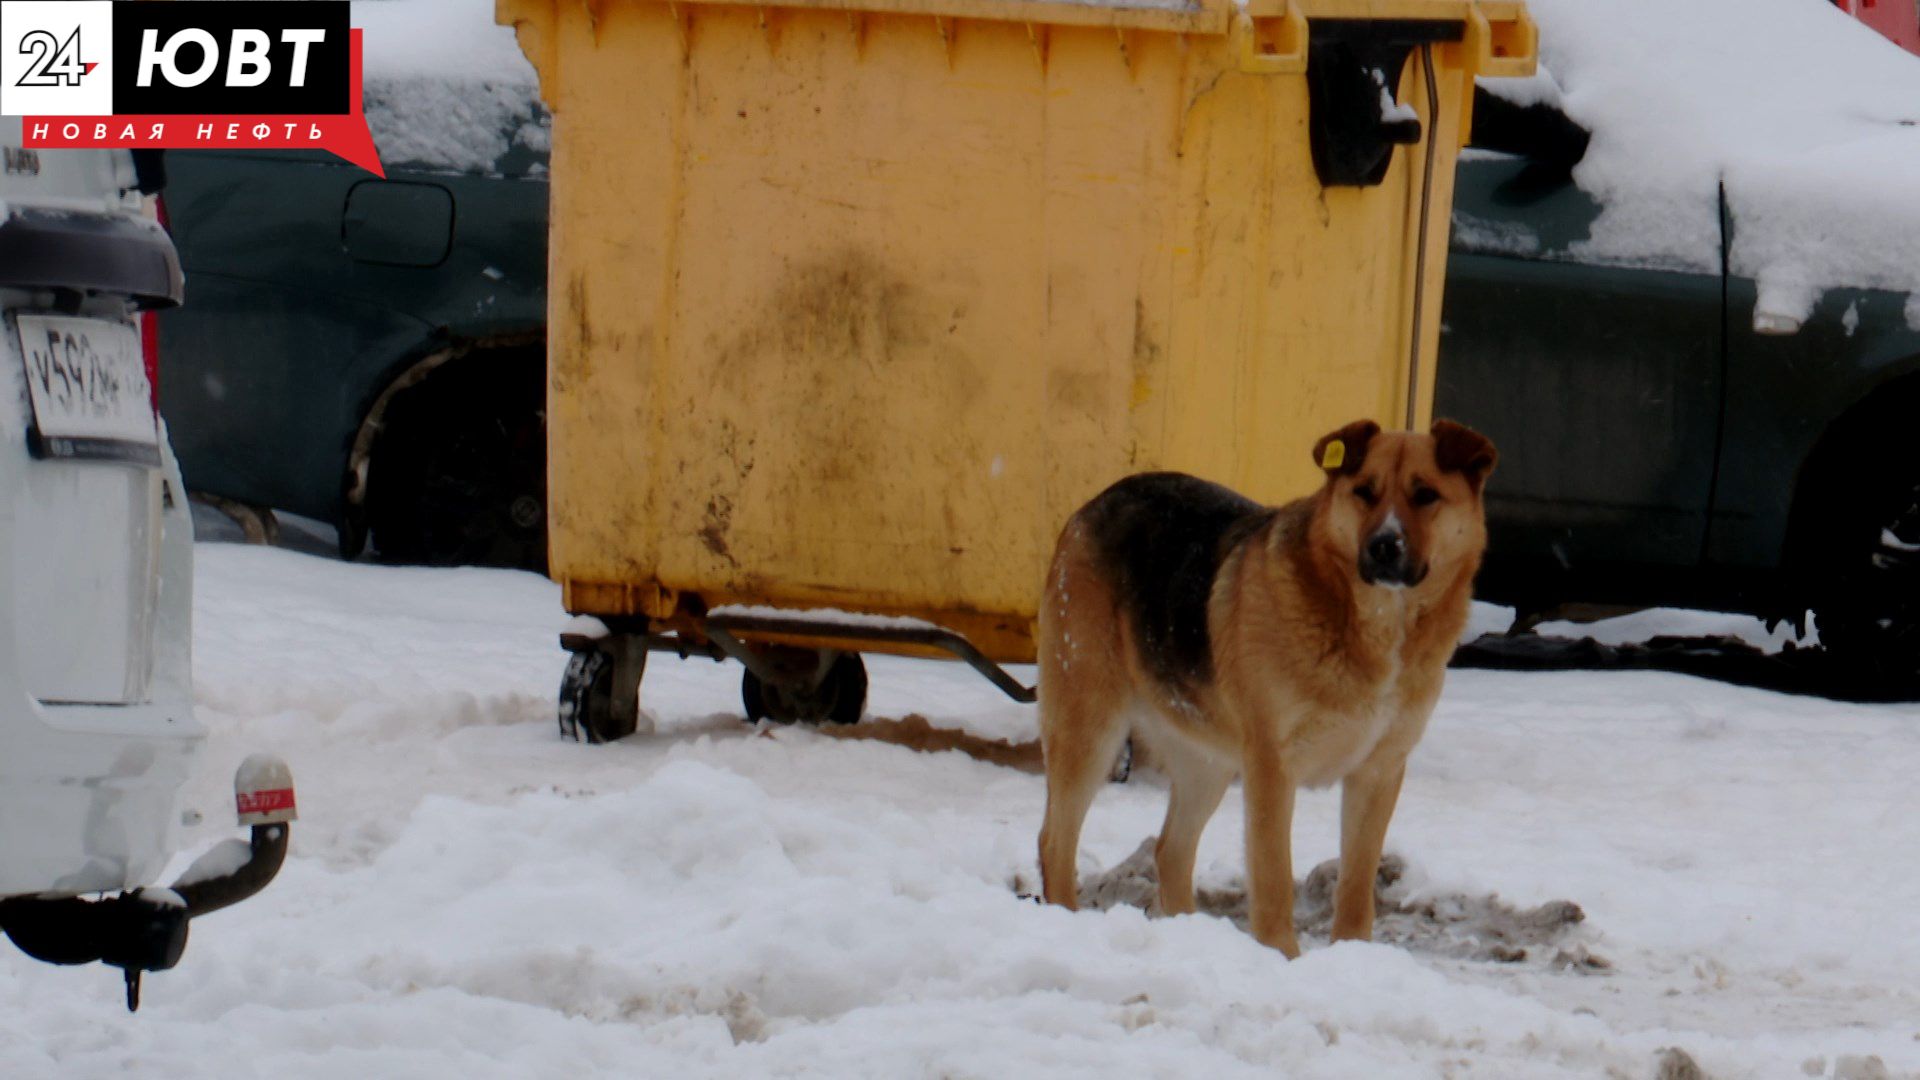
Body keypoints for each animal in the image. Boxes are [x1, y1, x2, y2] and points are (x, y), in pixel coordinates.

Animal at [1036, 417, 1497, 953]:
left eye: (1426, 495)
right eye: (1364, 492)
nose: (1384, 546)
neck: (1374, 624)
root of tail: (1095, 502)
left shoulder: (1378, 773)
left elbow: (1357, 886)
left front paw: (1352, 954)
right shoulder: (1273, 769)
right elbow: (1275, 879)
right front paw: (1283, 958)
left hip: (1207, 761)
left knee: (1171, 849)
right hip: (1090, 728)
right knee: (1055, 841)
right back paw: (1066, 922)